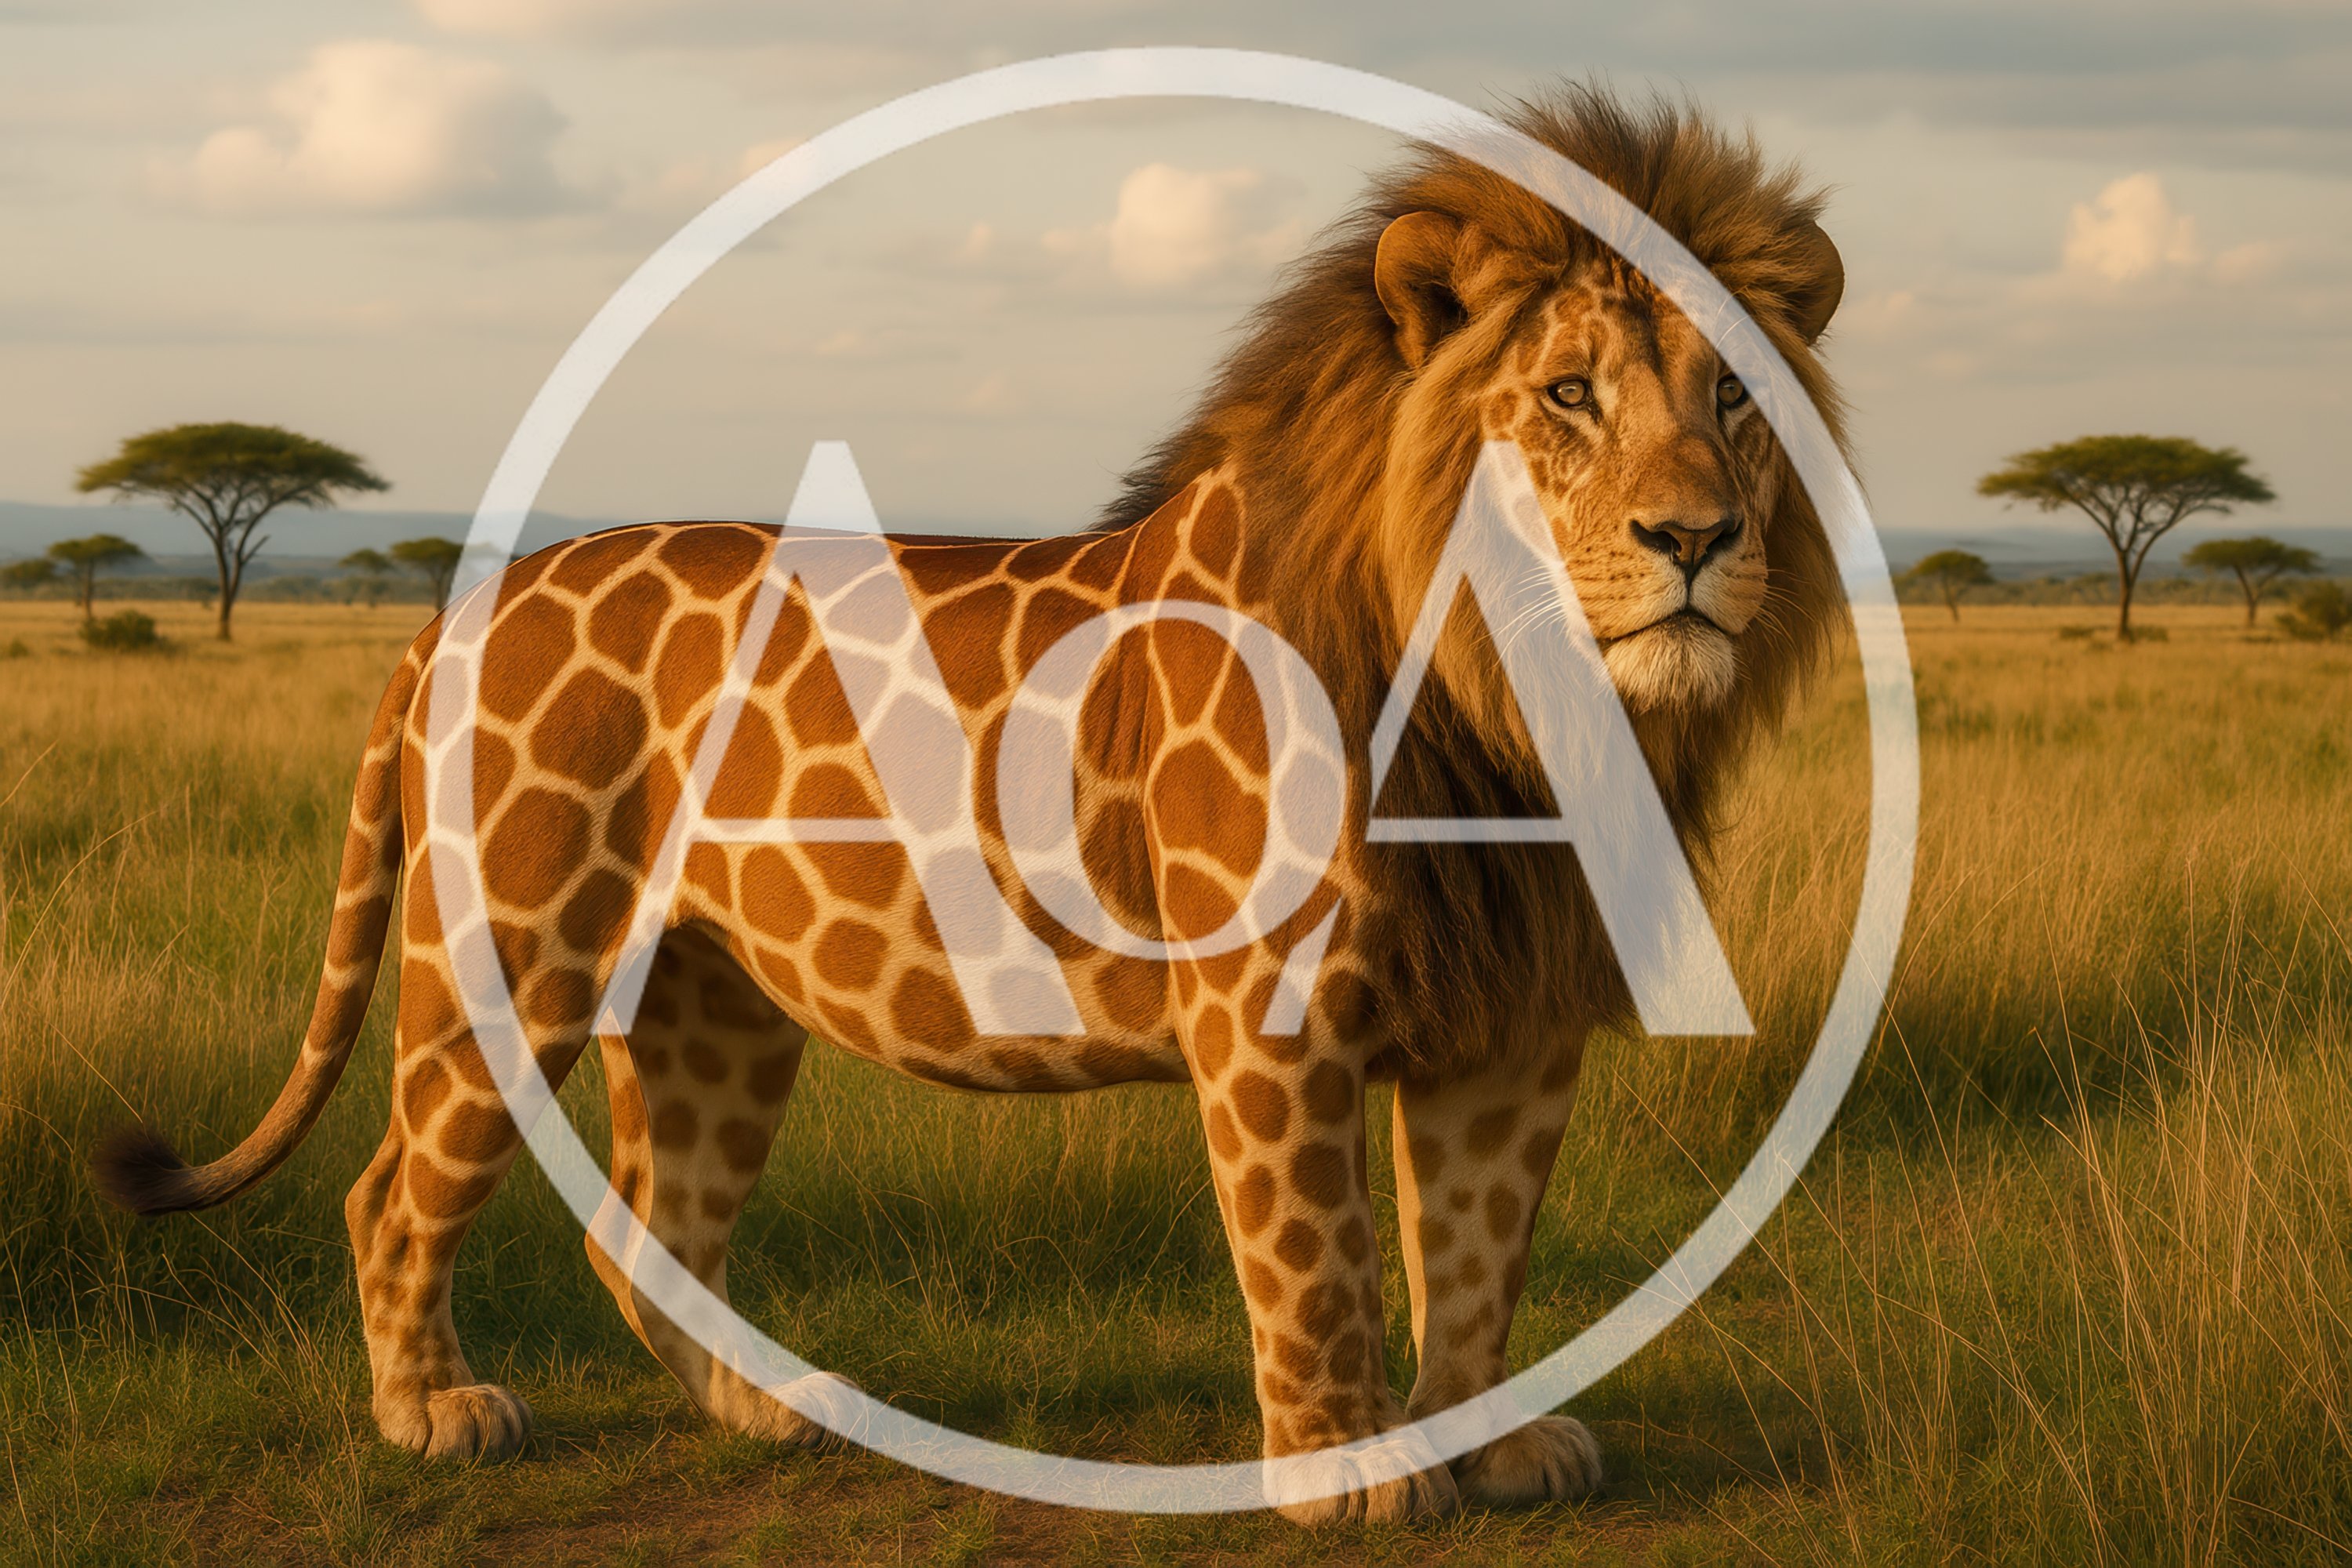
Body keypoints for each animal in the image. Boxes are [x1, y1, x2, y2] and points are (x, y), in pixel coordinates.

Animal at [95, 86, 1851, 1526]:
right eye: (1568, 395)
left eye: (1737, 401)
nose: (1696, 538)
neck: (1516, 709)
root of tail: (462, 604)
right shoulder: (1272, 1012)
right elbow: (1319, 1252)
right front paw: (1343, 1470)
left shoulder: (1516, 1010)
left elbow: (1481, 1248)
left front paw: (1487, 1447)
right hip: (509, 953)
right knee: (393, 1189)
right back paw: (433, 1412)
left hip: (715, 1010)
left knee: (651, 1223)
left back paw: (777, 1409)